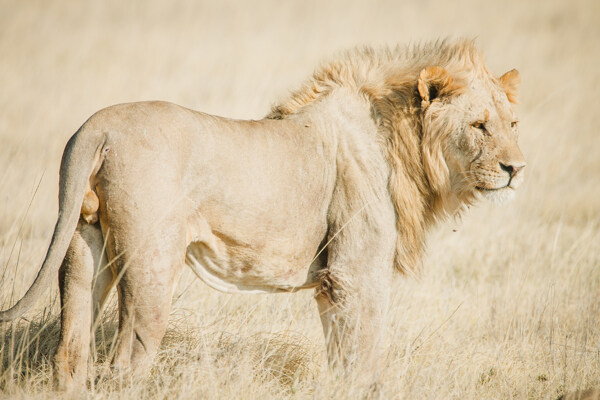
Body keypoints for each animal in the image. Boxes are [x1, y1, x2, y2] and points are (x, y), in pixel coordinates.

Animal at [0, 39, 524, 390]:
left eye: (513, 124)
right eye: (479, 126)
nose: (516, 168)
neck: (400, 141)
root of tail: (97, 127)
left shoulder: (333, 284)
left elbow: (343, 358)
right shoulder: (356, 273)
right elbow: (365, 360)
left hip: (83, 246)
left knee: (70, 353)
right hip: (151, 265)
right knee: (126, 364)